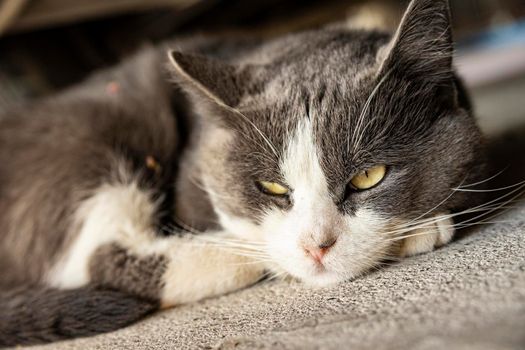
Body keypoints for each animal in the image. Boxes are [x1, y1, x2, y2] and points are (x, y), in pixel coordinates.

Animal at [0, 0, 488, 344]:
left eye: (368, 177)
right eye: (271, 186)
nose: (316, 247)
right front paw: (418, 230)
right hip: (99, 131)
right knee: (101, 255)